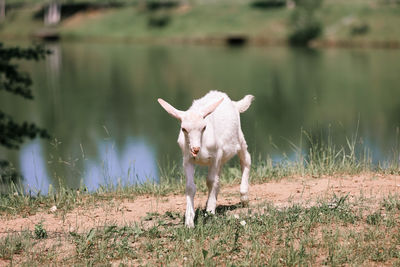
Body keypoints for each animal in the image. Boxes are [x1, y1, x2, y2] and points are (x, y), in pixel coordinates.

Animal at [157, 90, 253, 228]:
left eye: (204, 127)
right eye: (183, 129)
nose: (195, 149)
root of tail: (234, 103)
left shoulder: (216, 155)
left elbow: (211, 181)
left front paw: (210, 212)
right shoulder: (187, 159)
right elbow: (191, 187)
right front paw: (189, 221)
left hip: (239, 138)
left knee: (246, 160)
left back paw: (244, 196)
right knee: (219, 177)